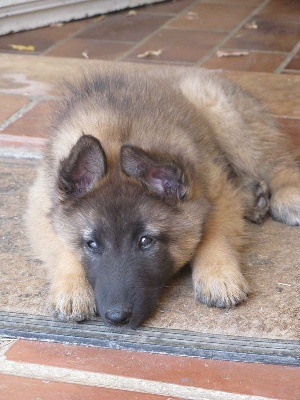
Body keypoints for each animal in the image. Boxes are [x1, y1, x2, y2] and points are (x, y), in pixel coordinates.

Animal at [25, 63, 300, 328]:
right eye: (91, 244)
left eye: (146, 241)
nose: (117, 317)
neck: (118, 134)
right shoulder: (40, 200)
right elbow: (61, 245)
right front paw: (71, 288)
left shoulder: (215, 190)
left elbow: (214, 233)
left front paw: (218, 274)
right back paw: (252, 196)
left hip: (227, 118)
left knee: (276, 162)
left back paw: (287, 195)